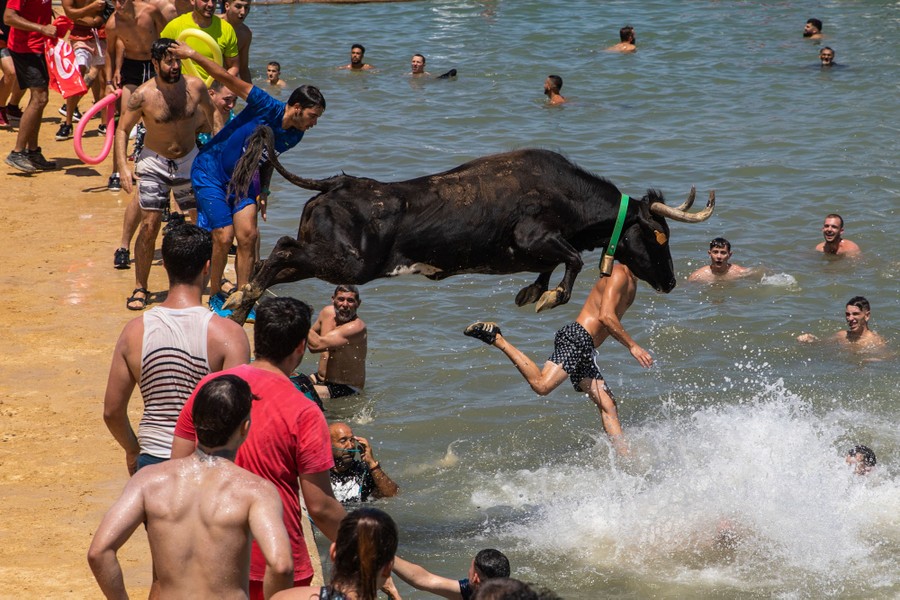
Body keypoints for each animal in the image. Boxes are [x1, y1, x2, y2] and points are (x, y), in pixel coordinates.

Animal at [224, 128, 715, 323]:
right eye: (659, 234)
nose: (671, 281)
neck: (569, 194)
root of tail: (338, 182)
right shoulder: (534, 235)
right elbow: (572, 262)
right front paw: (548, 297)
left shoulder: (538, 248)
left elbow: (552, 265)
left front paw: (533, 291)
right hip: (349, 263)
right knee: (282, 247)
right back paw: (243, 294)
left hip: (331, 261)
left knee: (279, 259)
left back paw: (242, 299)